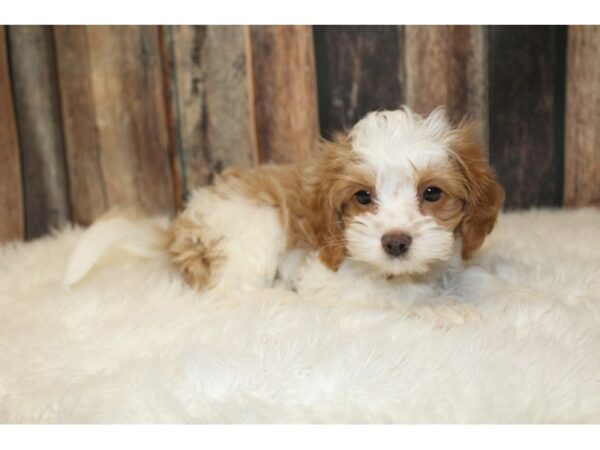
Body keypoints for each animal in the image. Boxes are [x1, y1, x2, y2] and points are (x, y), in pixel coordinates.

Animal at [168, 106, 502, 298]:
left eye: (432, 193)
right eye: (363, 196)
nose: (395, 243)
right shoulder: (327, 278)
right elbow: (393, 297)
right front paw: (445, 311)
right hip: (259, 223)